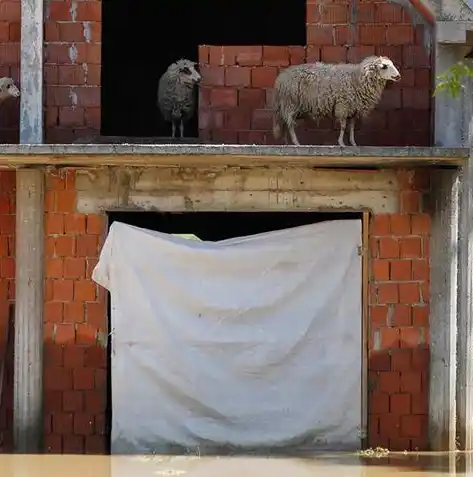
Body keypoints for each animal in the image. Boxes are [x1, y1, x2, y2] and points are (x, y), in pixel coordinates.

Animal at [272, 55, 400, 146]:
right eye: (384, 66)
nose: (398, 76)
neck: (357, 78)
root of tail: (281, 78)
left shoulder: (353, 108)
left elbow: (351, 127)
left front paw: (353, 143)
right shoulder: (343, 105)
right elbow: (343, 126)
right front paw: (341, 143)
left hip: (289, 105)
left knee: (286, 122)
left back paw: (287, 142)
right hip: (290, 102)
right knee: (290, 124)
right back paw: (296, 143)